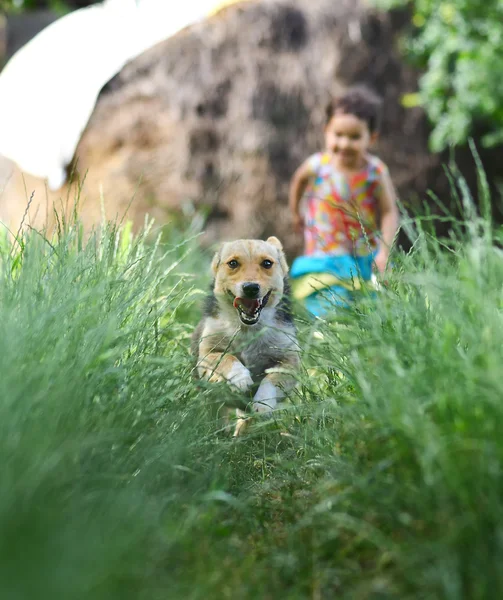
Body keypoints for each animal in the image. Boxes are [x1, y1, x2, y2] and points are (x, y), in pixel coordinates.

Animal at [191, 237, 298, 428]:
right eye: (233, 263)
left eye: (267, 263)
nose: (250, 288)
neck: (247, 329)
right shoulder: (207, 354)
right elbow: (226, 358)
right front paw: (240, 378)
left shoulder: (290, 362)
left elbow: (271, 380)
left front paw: (263, 403)